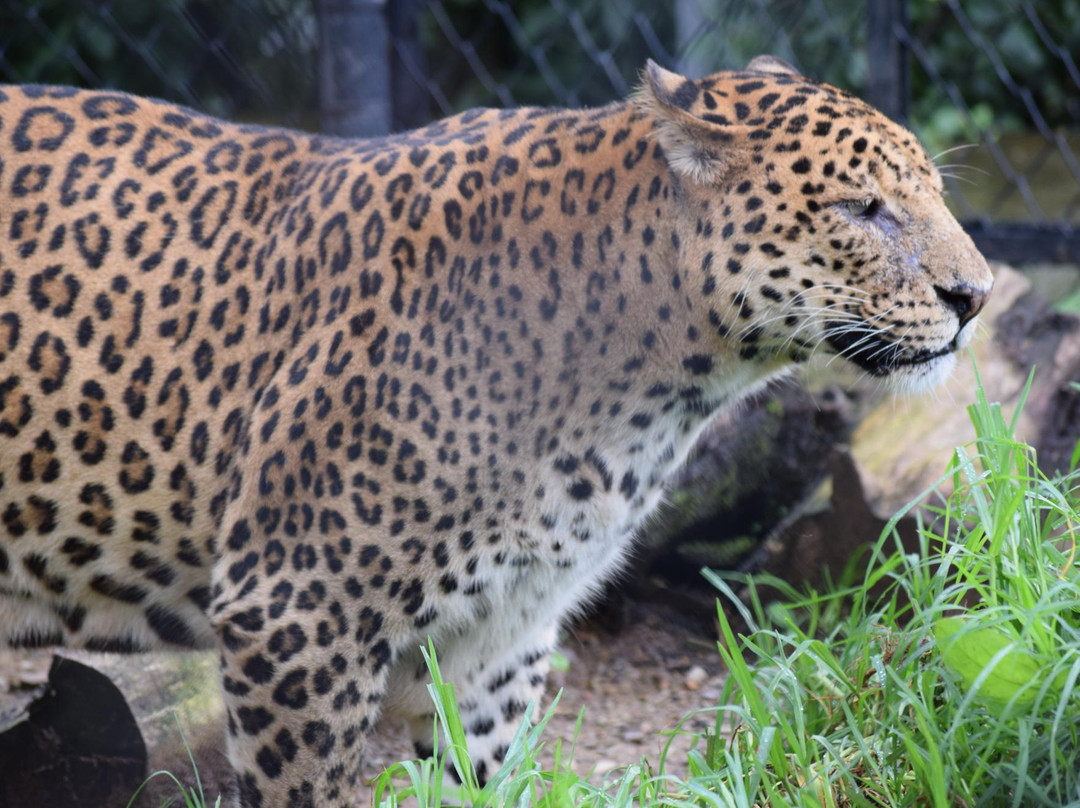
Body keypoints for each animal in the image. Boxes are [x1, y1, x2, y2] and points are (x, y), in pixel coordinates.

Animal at [0, 53, 989, 803]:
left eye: (935, 192)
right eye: (861, 208)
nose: (974, 296)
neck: (655, 388)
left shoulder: (503, 640)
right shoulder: (297, 616)